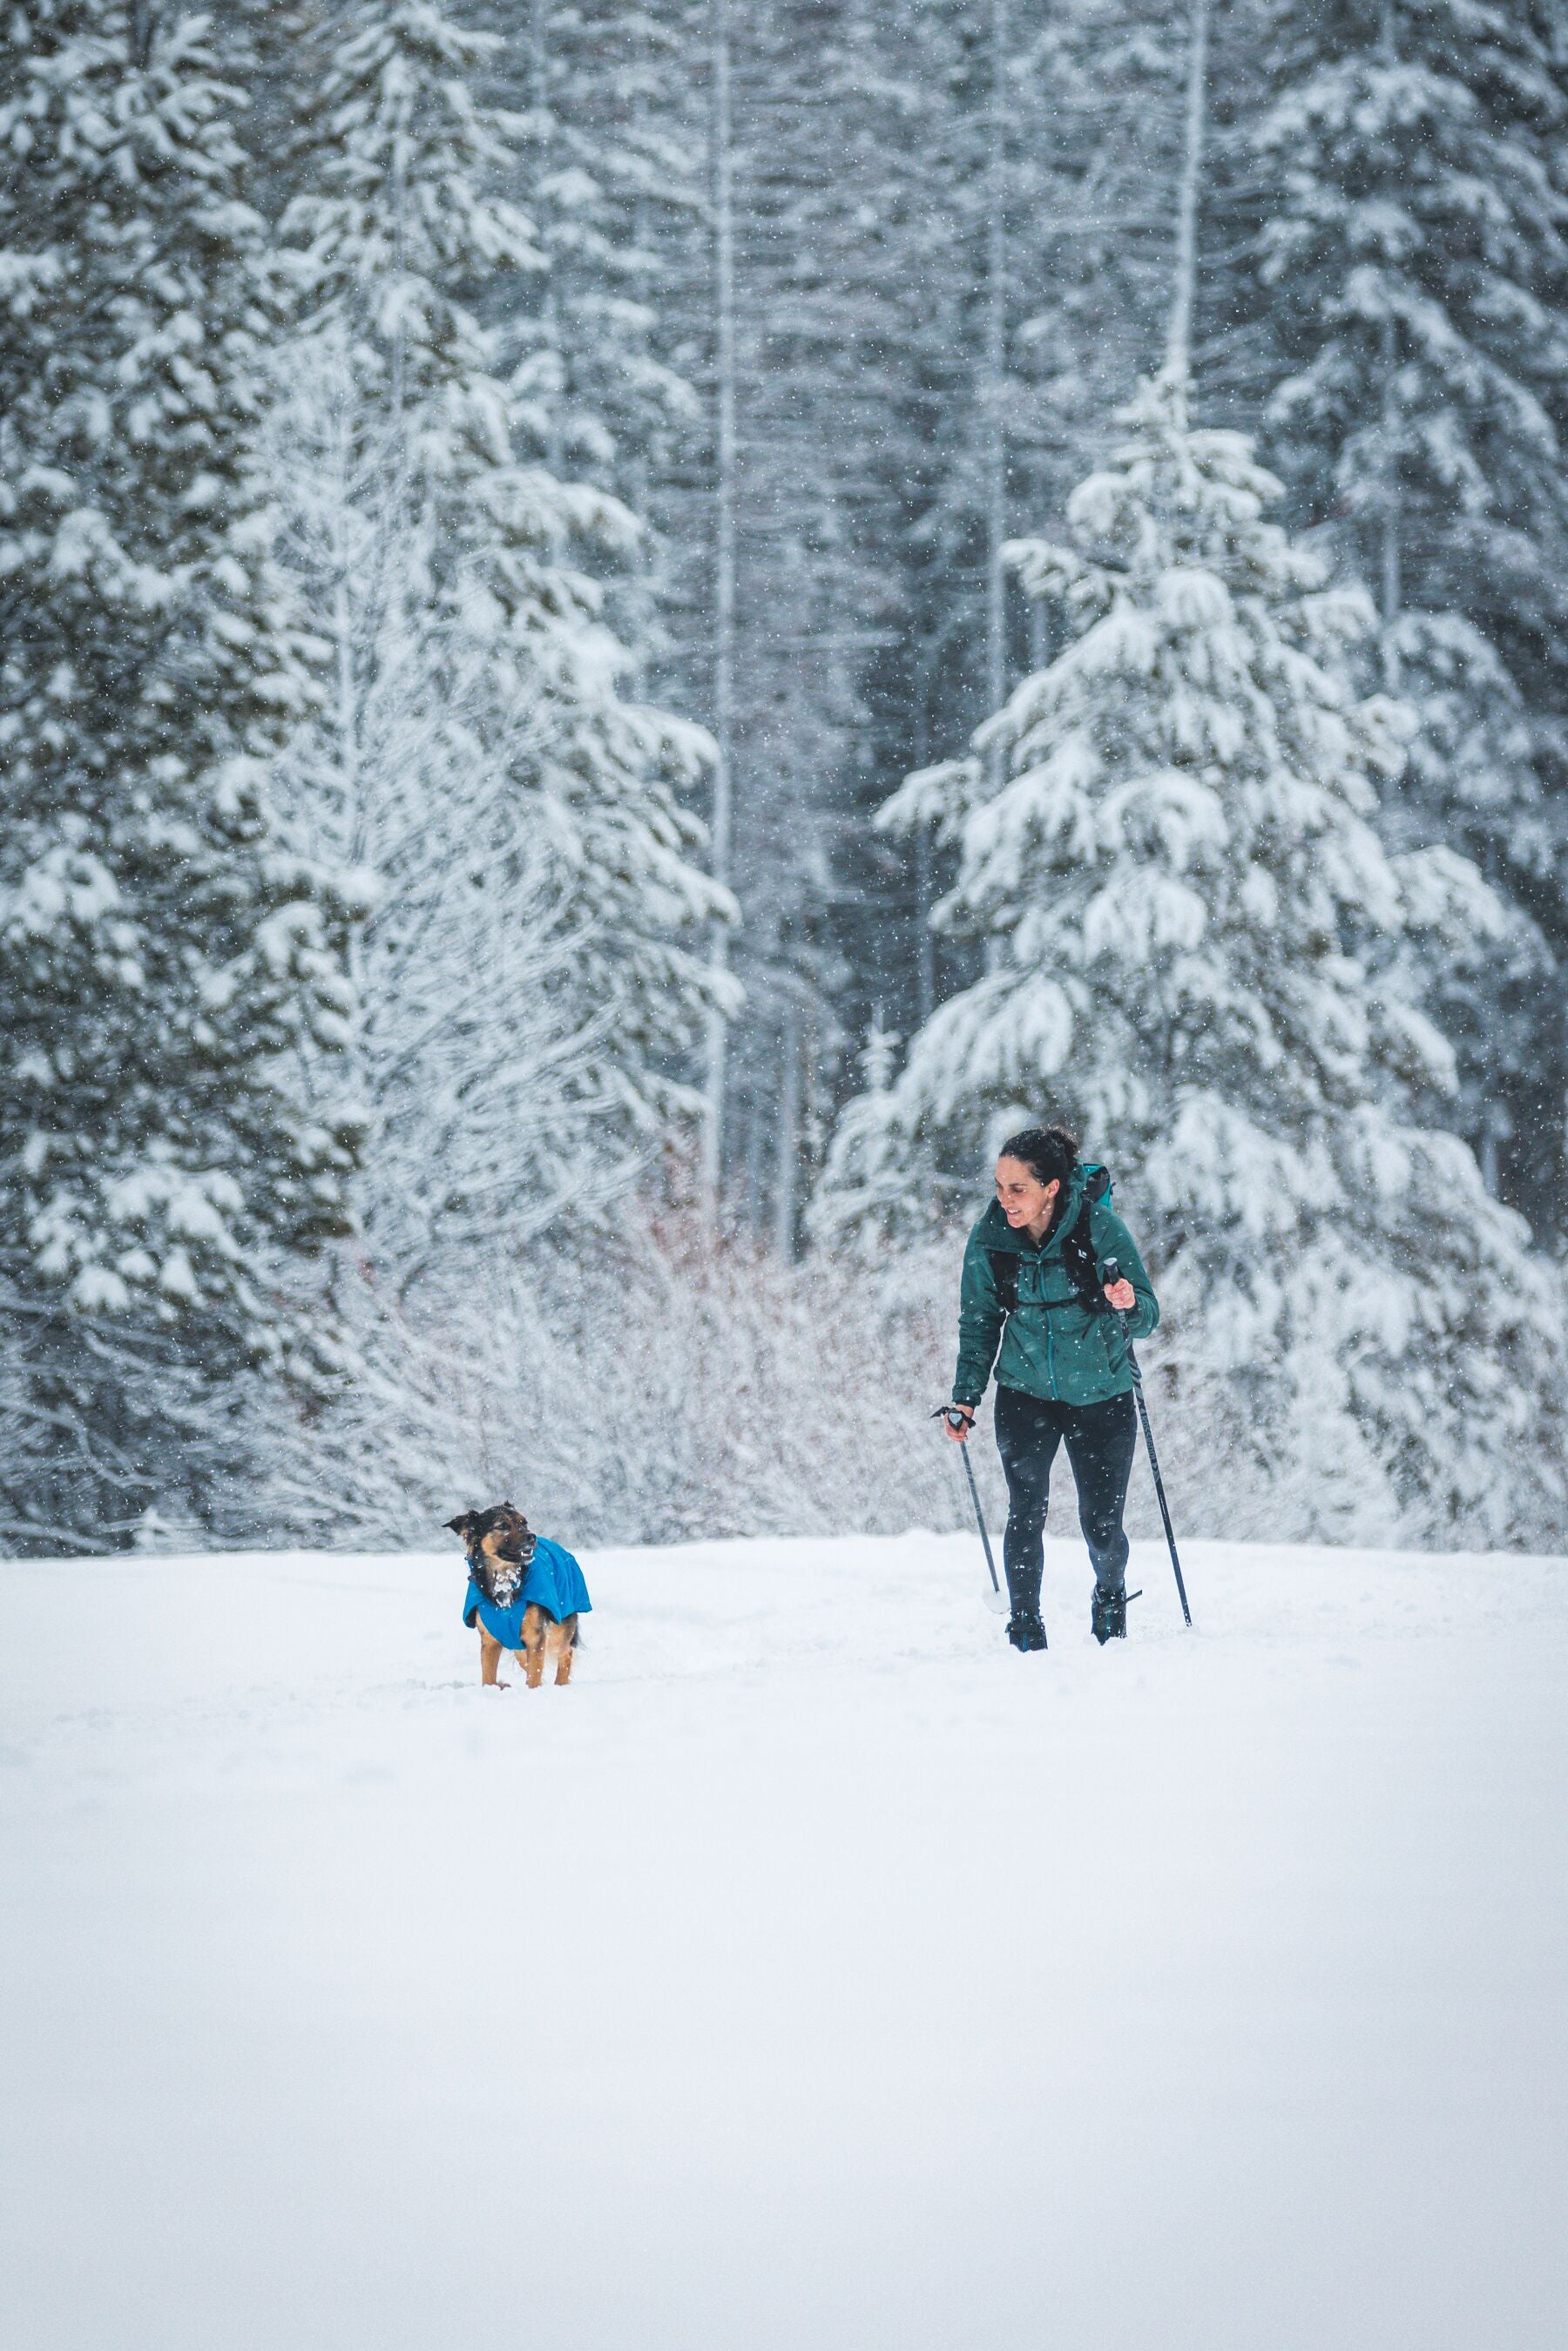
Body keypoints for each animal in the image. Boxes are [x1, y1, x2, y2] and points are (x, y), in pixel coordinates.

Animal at [444, 1504, 592, 1692]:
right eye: (502, 1526)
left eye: (524, 1522)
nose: (532, 1536)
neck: (505, 1580)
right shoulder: (490, 1640)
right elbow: (488, 1677)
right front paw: (494, 1688)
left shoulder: (536, 1636)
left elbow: (535, 1674)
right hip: (518, 1643)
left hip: (559, 1629)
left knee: (565, 1653)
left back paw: (560, 1684)